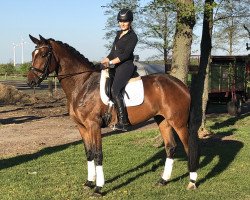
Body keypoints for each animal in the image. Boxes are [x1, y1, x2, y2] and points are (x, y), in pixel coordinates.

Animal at [27, 34, 199, 195]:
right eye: (32, 54)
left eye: (43, 54)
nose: (30, 82)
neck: (83, 84)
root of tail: (181, 85)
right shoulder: (82, 127)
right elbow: (89, 153)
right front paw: (89, 183)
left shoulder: (93, 125)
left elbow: (98, 155)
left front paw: (98, 188)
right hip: (162, 120)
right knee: (171, 147)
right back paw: (163, 180)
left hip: (179, 123)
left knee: (189, 148)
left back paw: (192, 182)